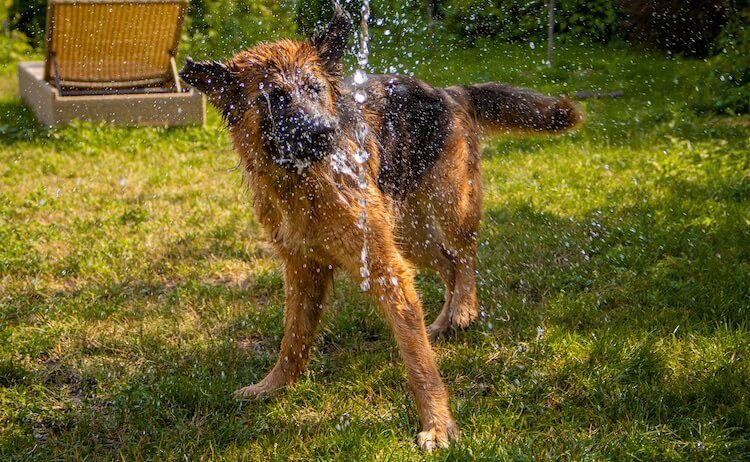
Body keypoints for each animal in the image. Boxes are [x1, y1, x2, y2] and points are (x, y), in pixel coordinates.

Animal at [179, 2, 584, 452]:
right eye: (274, 98)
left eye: (315, 89)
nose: (326, 130)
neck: (305, 184)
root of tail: (448, 93)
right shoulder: (304, 269)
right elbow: (293, 340)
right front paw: (273, 387)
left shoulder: (384, 268)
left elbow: (417, 357)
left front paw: (438, 423)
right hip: (407, 232)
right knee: (447, 262)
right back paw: (444, 319)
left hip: (451, 206)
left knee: (465, 253)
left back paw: (464, 307)